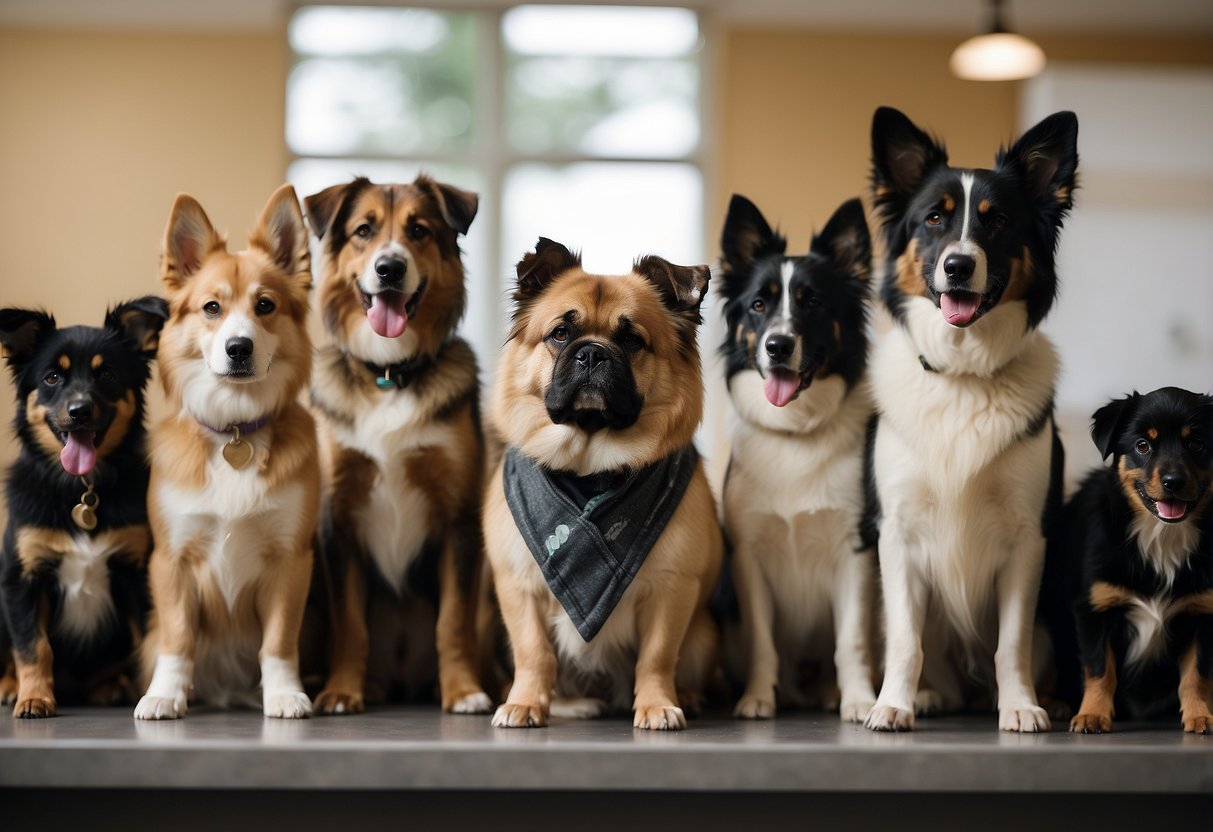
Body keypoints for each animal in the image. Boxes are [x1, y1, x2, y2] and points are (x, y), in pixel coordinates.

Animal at [0, 298, 166, 717]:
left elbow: (150, 641)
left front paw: (153, 694)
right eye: (51, 378)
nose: (79, 411)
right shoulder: (21, 577)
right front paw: (33, 697)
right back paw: (10, 686)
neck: (81, 489)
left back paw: (111, 687)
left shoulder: (135, 573)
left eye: (106, 374)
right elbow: (32, 646)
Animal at [303, 175, 492, 717]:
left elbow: (452, 621)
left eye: (420, 231)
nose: (390, 267)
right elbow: (350, 622)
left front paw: (463, 690)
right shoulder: (337, 519)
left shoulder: (458, 518)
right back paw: (369, 685)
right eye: (363, 230)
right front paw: (341, 690)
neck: (389, 374)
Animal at [482, 240, 718, 727]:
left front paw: (657, 704)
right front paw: (525, 702)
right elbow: (534, 654)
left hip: (703, 636)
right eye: (559, 334)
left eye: (631, 340)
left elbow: (656, 658)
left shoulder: (672, 591)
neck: (590, 470)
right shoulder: (518, 588)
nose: (591, 353)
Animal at [1057, 388, 1213, 732]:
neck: (1161, 536)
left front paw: (1200, 715)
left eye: (1197, 443)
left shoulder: (1203, 612)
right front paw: (1092, 715)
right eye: (1143, 445)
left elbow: (1197, 675)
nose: (1173, 481)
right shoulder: (1093, 608)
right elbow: (1099, 669)